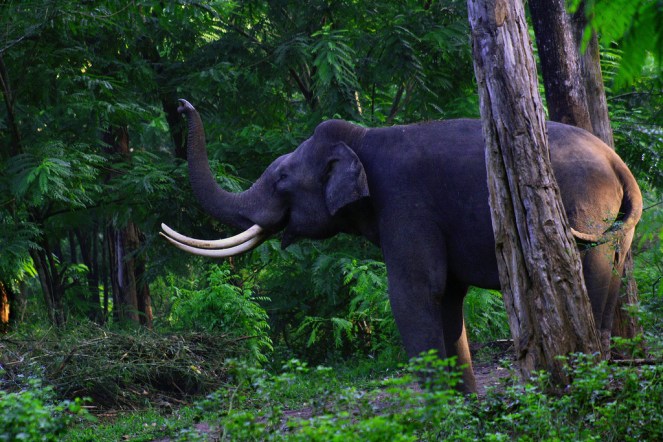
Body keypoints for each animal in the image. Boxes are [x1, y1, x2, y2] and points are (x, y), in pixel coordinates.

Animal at [162, 99, 642, 393]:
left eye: (281, 178)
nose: (182, 105)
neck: (362, 138)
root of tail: (619, 164)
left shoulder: (406, 204)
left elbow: (414, 293)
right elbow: (446, 297)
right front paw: (464, 406)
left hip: (585, 206)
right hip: (613, 227)